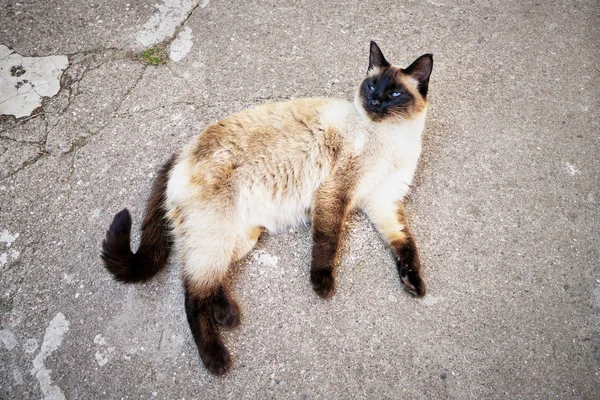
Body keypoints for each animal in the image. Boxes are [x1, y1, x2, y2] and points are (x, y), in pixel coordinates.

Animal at [102, 42, 432, 376]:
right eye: (372, 86)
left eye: (395, 93)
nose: (375, 102)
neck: (393, 138)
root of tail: (183, 151)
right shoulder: (335, 192)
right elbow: (327, 242)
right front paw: (322, 284)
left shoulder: (384, 203)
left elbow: (406, 245)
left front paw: (414, 283)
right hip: (216, 234)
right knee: (192, 295)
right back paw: (216, 358)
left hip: (239, 237)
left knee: (200, 277)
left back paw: (227, 314)